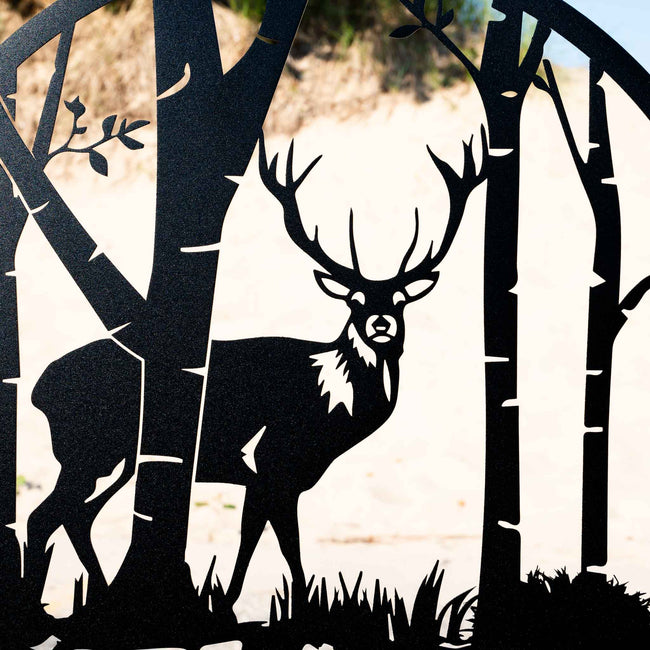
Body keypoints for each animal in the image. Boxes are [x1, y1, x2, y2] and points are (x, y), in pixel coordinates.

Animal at [24, 129, 488, 607]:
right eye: (354, 301)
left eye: (400, 300)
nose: (381, 323)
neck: (330, 407)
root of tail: (39, 389)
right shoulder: (270, 462)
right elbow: (283, 544)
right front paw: (266, 604)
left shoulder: (273, 479)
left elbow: (258, 539)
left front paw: (237, 601)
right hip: (90, 451)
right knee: (46, 516)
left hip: (116, 460)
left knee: (77, 517)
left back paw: (97, 593)